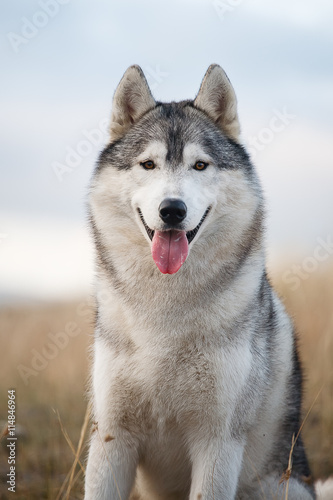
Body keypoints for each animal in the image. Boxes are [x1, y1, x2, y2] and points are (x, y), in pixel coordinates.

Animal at [84, 66, 316, 500]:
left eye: (200, 166)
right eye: (148, 164)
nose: (172, 210)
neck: (165, 309)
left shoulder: (218, 441)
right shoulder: (112, 436)